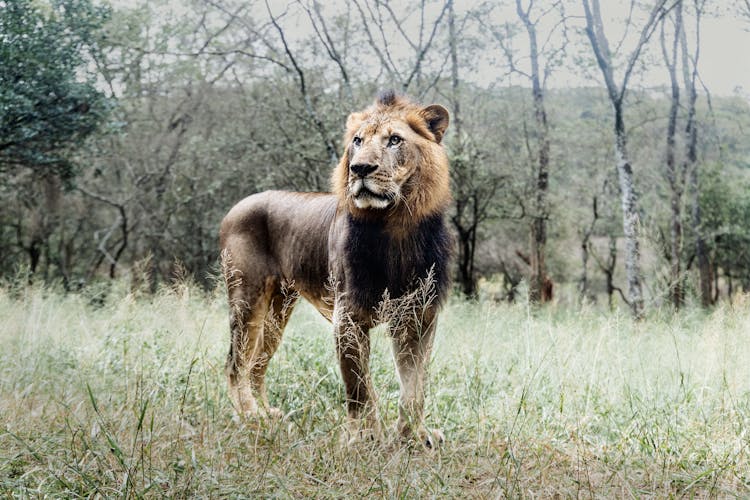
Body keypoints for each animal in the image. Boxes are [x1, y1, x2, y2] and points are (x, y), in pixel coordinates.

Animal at [217, 91, 452, 450]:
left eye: (394, 140)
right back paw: (250, 417)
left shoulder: (418, 317)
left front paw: (414, 437)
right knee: (235, 363)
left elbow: (414, 387)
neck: (395, 227)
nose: (360, 168)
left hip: (279, 307)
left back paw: (268, 413)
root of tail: (236, 206)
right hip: (247, 298)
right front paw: (366, 437)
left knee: (257, 363)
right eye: (357, 141)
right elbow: (359, 386)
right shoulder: (349, 316)